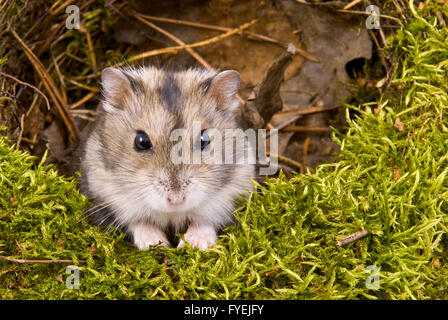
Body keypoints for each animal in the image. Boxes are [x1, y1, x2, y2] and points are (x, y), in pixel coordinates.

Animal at [80, 65, 256, 250]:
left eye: (204, 140)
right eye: (141, 141)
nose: (176, 201)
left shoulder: (232, 192)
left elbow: (205, 221)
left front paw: (193, 244)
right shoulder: (107, 194)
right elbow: (139, 222)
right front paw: (155, 243)